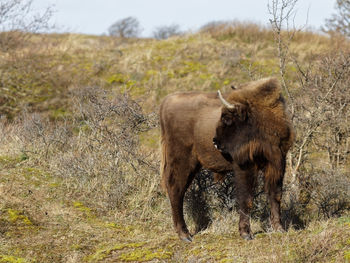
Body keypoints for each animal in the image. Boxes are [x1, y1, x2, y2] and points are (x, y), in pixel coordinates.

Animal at [160, 77, 294, 242]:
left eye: (228, 118)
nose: (215, 142)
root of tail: (167, 101)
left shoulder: (277, 163)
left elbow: (275, 195)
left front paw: (279, 228)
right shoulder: (245, 166)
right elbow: (246, 199)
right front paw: (246, 233)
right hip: (182, 161)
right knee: (176, 191)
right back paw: (185, 235)